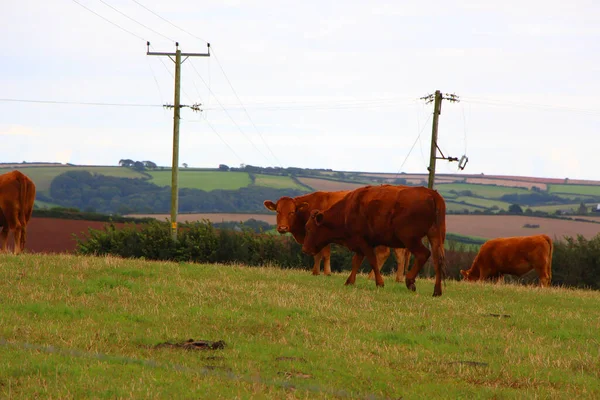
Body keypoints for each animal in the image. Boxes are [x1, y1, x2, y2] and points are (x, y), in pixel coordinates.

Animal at [262, 190, 408, 280]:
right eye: (278, 211)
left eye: (292, 212)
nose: (282, 227)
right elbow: (317, 254)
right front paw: (316, 272)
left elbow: (324, 254)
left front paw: (326, 272)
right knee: (399, 254)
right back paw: (399, 278)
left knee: (383, 253)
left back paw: (371, 277)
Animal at [304, 186, 446, 296]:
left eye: (309, 228)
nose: (305, 249)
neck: (347, 211)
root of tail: (432, 194)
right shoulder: (359, 244)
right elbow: (356, 262)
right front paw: (349, 281)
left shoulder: (364, 242)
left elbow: (372, 261)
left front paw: (380, 283)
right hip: (435, 237)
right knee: (437, 259)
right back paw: (437, 291)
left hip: (410, 240)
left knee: (423, 254)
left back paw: (410, 281)